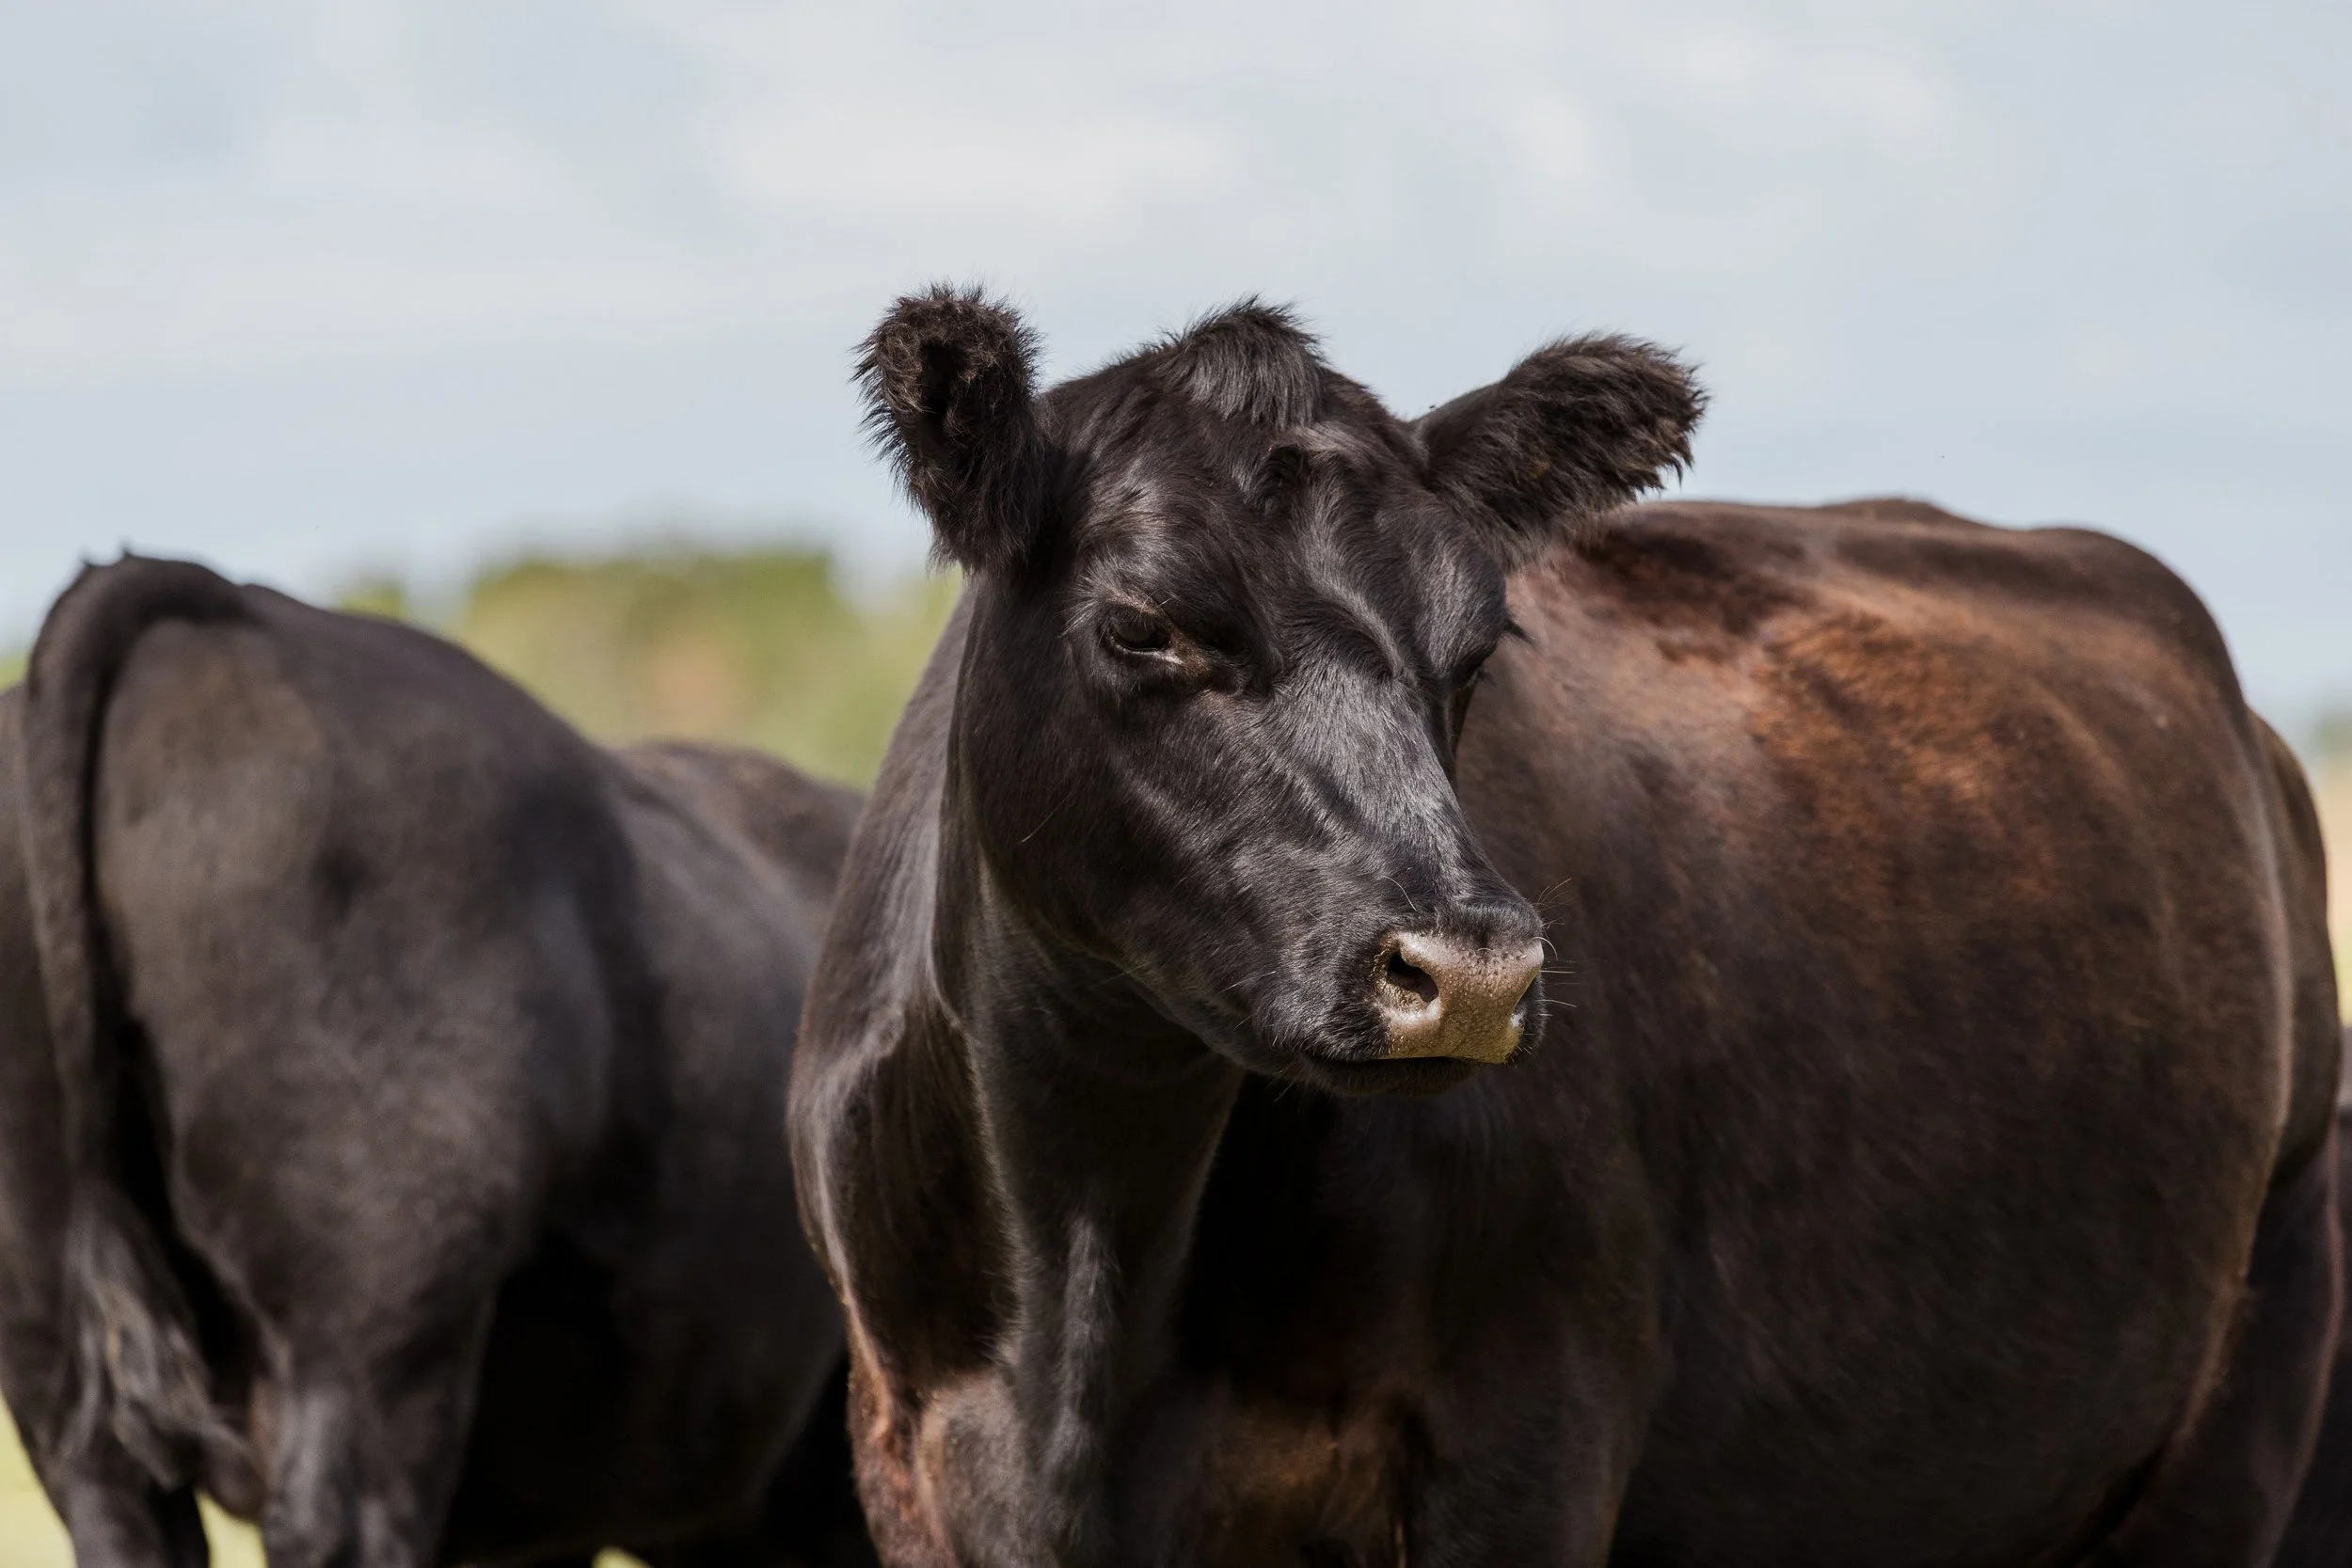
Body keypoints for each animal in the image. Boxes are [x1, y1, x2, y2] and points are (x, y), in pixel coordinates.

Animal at [786, 290, 2343, 1567]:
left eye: (1477, 647)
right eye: (1143, 625)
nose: (1470, 968)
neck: (1086, 1274)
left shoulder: (1527, 1439)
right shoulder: (907, 1457)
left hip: (2249, 1389)